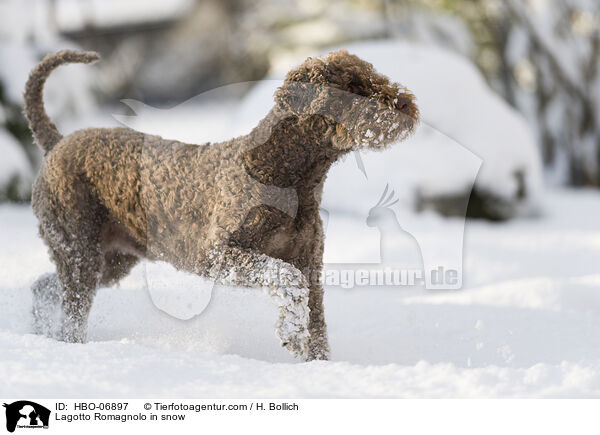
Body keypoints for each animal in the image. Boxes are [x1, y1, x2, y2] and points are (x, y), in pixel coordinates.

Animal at [27, 49, 418, 362]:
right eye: (353, 86)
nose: (405, 103)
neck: (278, 173)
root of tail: (57, 142)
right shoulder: (217, 255)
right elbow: (285, 279)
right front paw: (292, 334)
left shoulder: (310, 263)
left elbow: (317, 321)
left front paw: (318, 365)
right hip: (80, 251)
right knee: (71, 313)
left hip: (111, 260)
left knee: (44, 287)